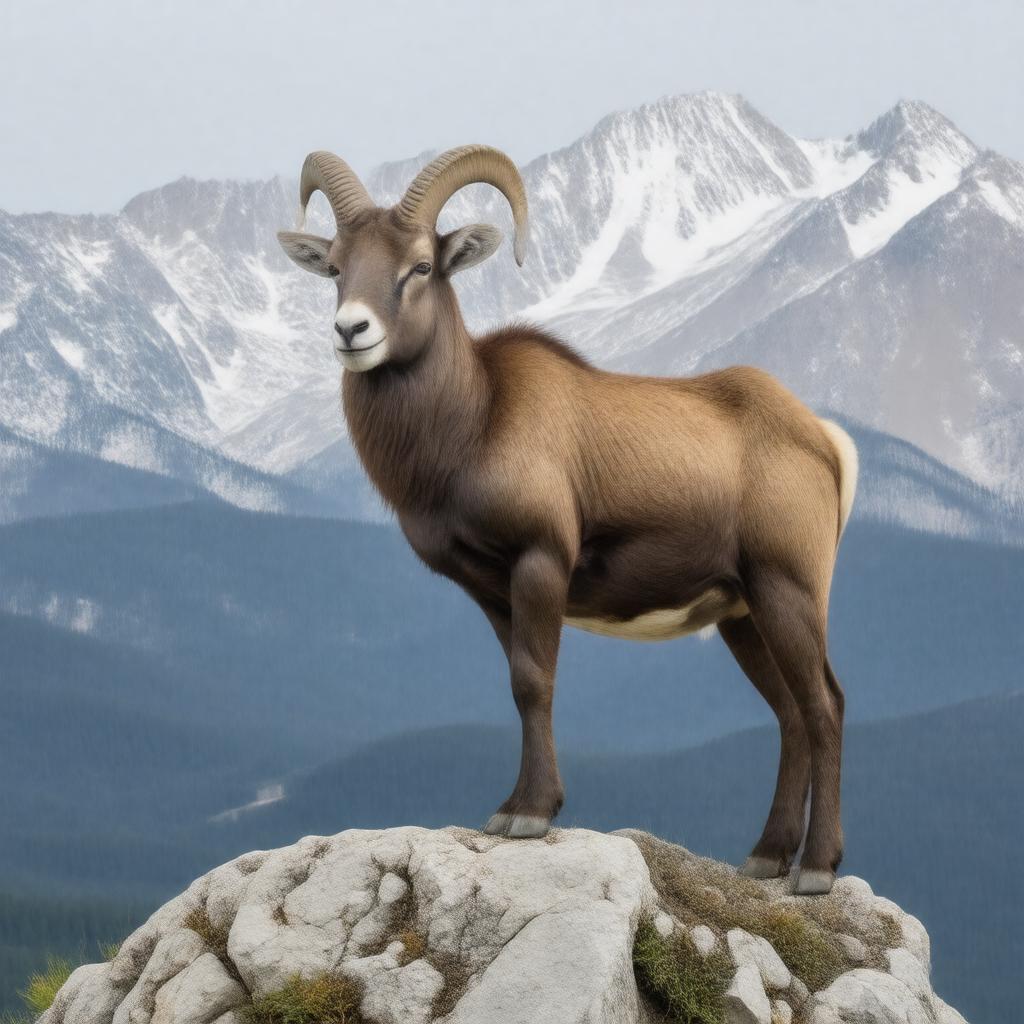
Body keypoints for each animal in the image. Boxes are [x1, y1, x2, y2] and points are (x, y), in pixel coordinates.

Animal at [277, 145, 858, 895]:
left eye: (421, 266)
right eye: (335, 267)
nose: (352, 331)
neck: (473, 424)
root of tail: (823, 440)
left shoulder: (541, 562)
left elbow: (536, 681)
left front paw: (531, 815)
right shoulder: (492, 592)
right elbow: (518, 685)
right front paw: (511, 809)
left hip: (788, 590)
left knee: (822, 706)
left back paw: (814, 869)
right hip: (743, 614)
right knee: (788, 713)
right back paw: (764, 858)